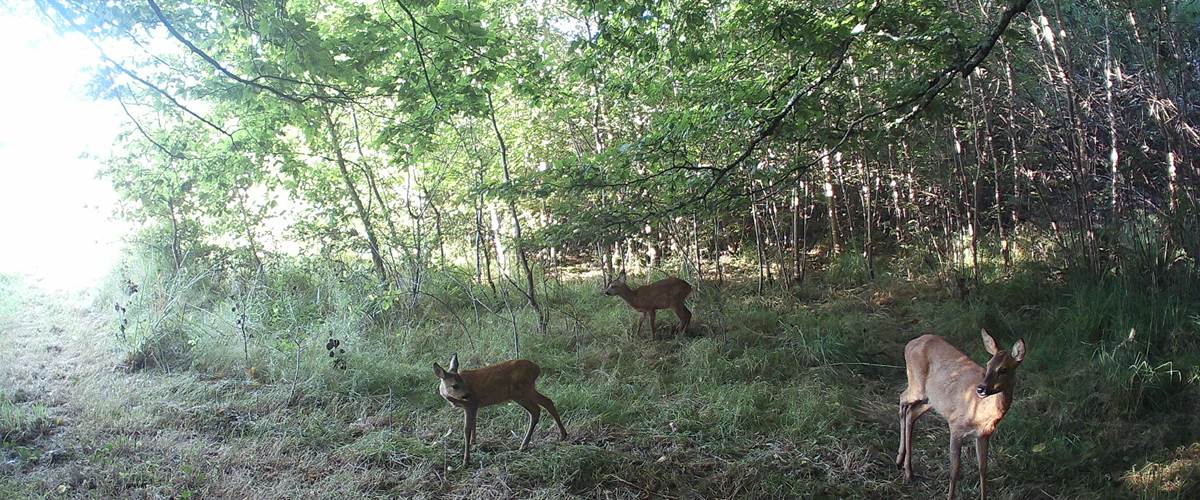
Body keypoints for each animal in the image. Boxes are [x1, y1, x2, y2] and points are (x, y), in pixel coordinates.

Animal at [432, 350, 566, 462]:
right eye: (455, 385)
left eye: (463, 382)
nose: (468, 394)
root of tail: (536, 369)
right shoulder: (474, 406)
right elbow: (474, 424)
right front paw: (473, 444)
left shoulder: (470, 404)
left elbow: (466, 429)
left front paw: (466, 460)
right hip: (528, 389)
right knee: (547, 402)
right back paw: (562, 435)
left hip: (520, 392)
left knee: (536, 410)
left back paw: (523, 445)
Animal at [897, 326, 1027, 498]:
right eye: (988, 364)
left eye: (1003, 369)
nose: (981, 388)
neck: (982, 413)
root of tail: (910, 344)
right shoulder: (955, 427)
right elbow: (954, 471)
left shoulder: (984, 434)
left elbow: (983, 469)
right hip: (917, 385)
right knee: (902, 399)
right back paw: (900, 461)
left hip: (932, 400)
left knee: (911, 413)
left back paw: (908, 469)